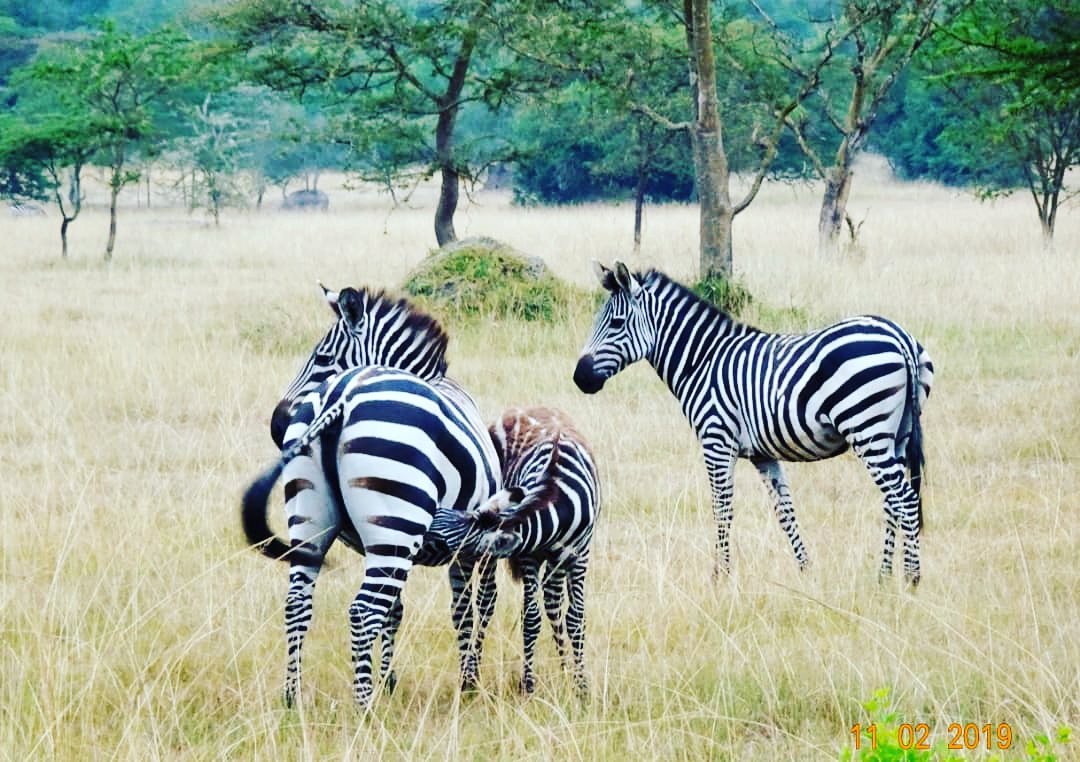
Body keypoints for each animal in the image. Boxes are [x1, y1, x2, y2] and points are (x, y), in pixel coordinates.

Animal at [244, 285, 503, 705]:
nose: (277, 425)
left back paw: (292, 697)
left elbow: (397, 610)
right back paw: (364, 706)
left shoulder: (386, 543)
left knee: (299, 602)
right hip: (397, 523)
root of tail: (341, 394)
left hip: (315, 521)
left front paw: (390, 679)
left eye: (322, 358)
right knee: (364, 611)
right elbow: (471, 607)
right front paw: (469, 683)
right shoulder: (474, 542)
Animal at [429, 406, 600, 694]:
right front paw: (528, 685)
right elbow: (530, 619)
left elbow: (576, 619)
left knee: (553, 603)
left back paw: (565, 669)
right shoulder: (529, 556)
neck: (557, 495)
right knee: (487, 600)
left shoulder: (579, 555)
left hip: (556, 561)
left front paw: (580, 687)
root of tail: (527, 408)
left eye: (439, 542)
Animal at [573, 261, 933, 586]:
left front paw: (720, 577)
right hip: (896, 436)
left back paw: (912, 579)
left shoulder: (716, 441)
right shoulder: (763, 454)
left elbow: (722, 508)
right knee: (893, 499)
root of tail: (898, 335)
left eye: (617, 323)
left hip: (867, 429)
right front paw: (806, 571)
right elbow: (785, 511)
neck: (701, 361)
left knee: (904, 498)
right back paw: (884, 576)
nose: (579, 378)